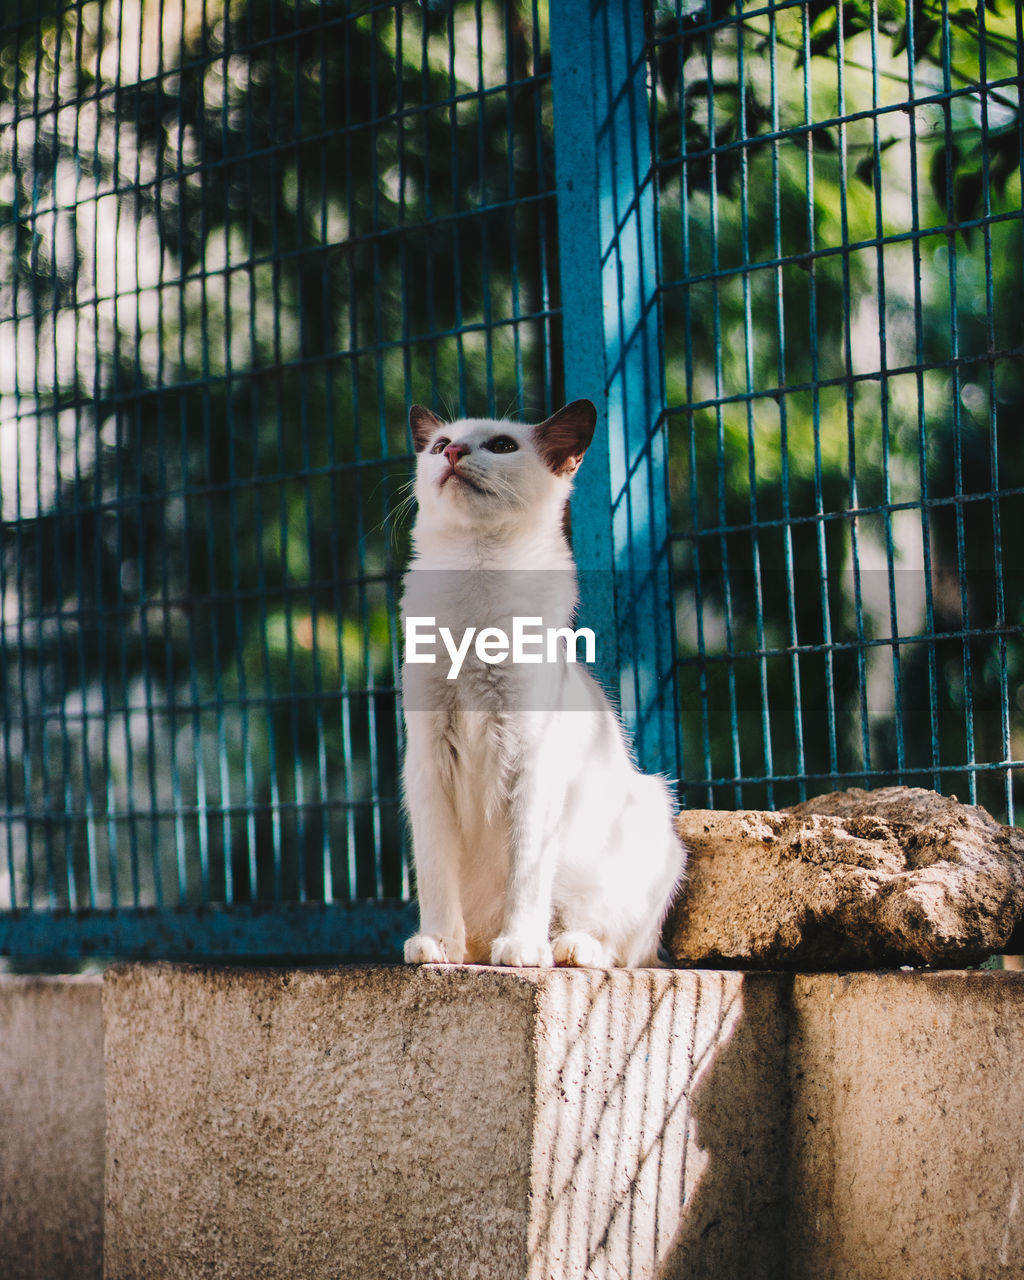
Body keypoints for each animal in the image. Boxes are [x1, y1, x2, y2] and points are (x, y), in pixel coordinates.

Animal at [399, 399, 686, 967]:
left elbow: (525, 874)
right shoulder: (428, 760)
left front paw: (521, 949)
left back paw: (565, 949)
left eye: (502, 446)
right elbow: (436, 875)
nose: (455, 452)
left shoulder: (530, 762)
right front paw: (438, 945)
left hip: (653, 822)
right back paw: (470, 948)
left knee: (619, 947)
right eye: (440, 446)